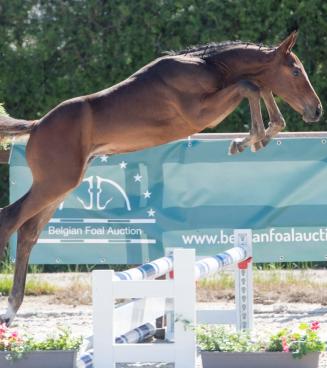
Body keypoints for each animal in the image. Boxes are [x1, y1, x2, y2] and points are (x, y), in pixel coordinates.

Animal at [0, 31, 322, 324]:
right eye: (296, 71)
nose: (316, 110)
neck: (207, 66)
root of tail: (37, 125)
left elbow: (259, 89)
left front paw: (256, 138)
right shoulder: (201, 113)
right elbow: (250, 86)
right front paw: (248, 140)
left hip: (61, 187)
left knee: (28, 233)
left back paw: (12, 309)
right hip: (54, 184)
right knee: (10, 218)